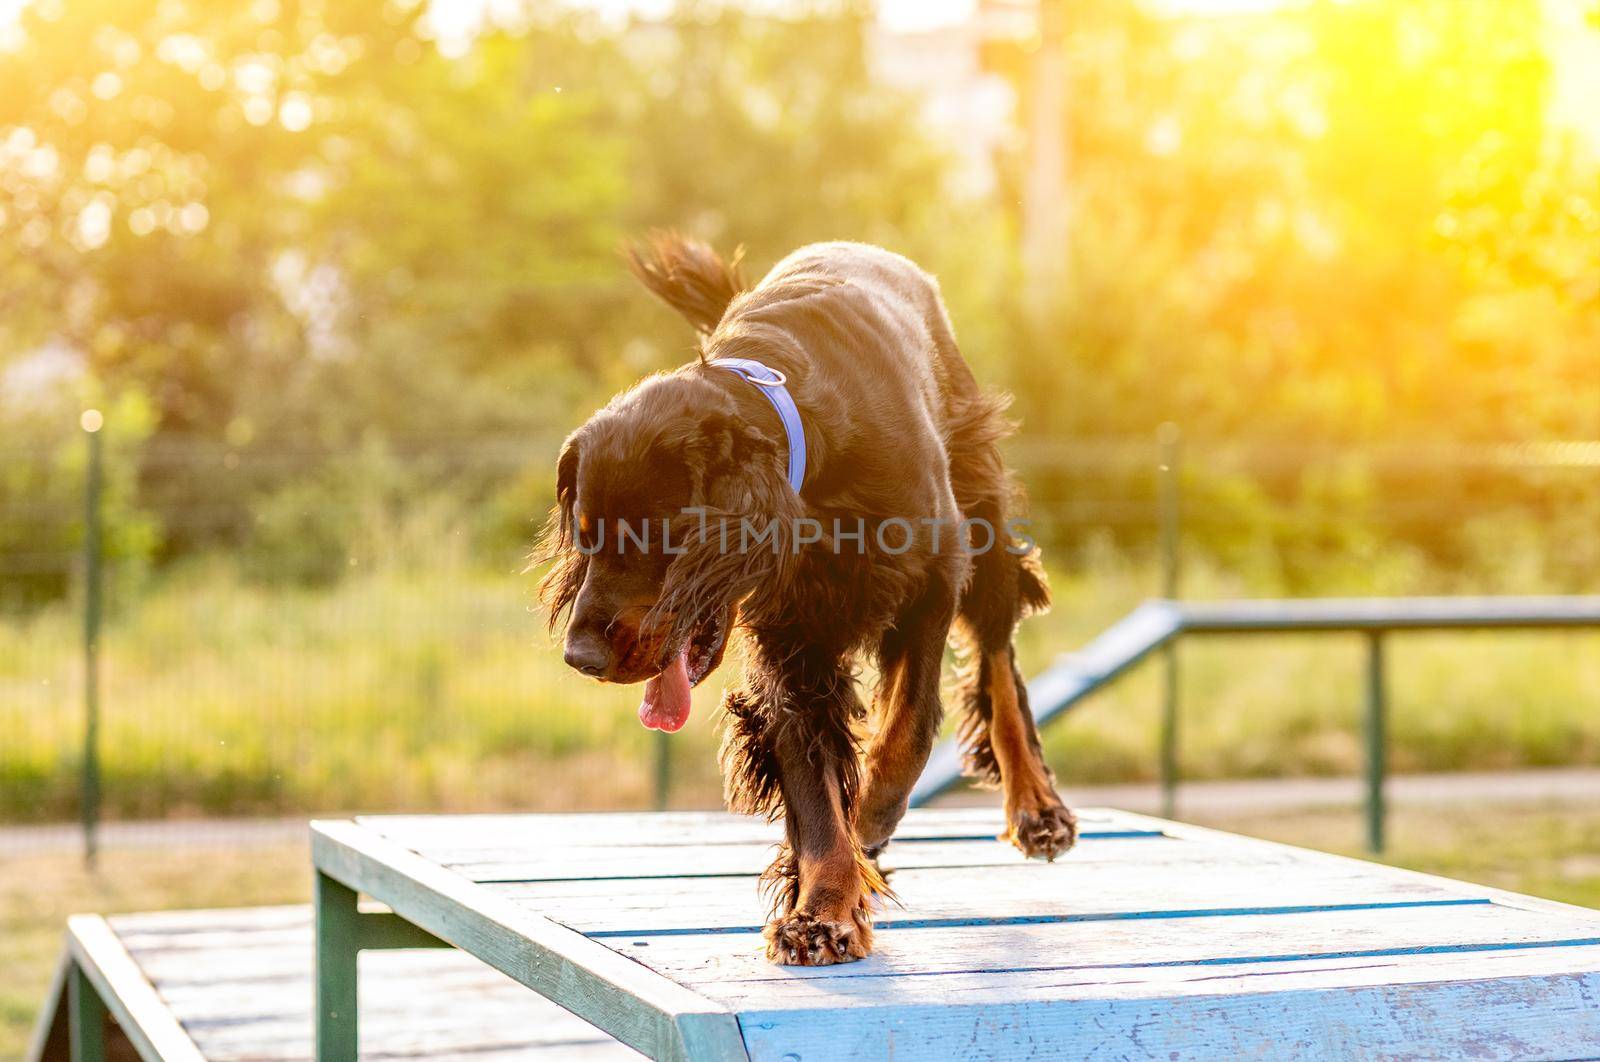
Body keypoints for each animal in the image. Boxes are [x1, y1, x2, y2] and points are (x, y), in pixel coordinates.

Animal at [537, 236, 1075, 966]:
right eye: (587, 537)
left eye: (657, 538)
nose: (580, 656)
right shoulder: (793, 639)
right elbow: (813, 783)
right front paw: (822, 909)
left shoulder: (932, 581)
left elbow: (907, 730)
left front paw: (871, 814)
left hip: (980, 512)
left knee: (997, 659)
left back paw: (1036, 806)